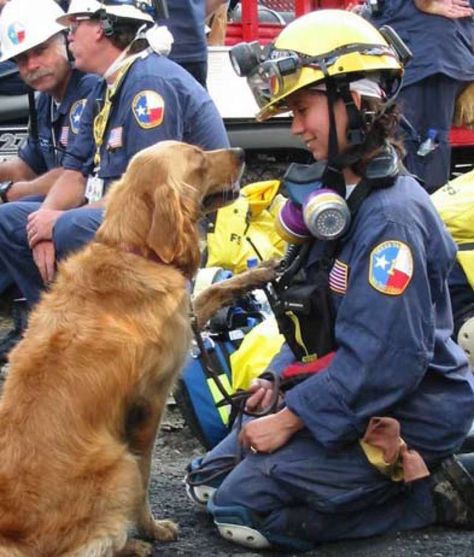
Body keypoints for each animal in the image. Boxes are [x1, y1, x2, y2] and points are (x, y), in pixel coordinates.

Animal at [0, 140, 244, 556]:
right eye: (198, 158)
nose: (243, 152)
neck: (133, 250)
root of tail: (11, 536)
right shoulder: (150, 404)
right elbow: (145, 479)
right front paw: (152, 528)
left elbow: (213, 291)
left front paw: (262, 272)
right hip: (119, 464)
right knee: (92, 543)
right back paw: (132, 544)